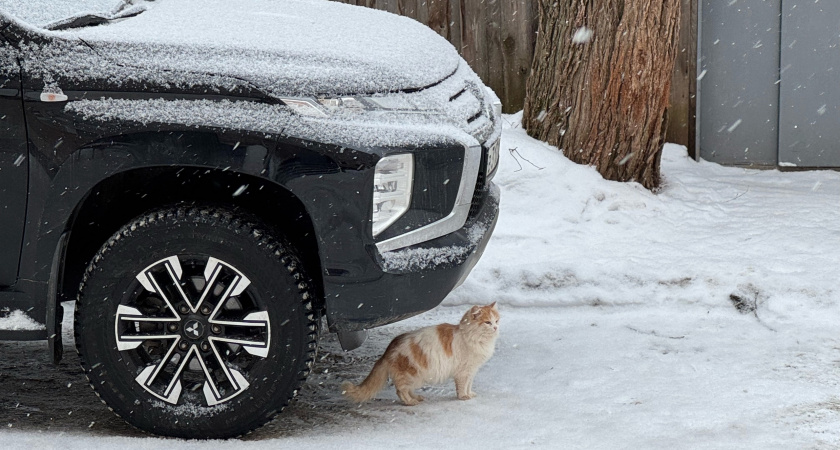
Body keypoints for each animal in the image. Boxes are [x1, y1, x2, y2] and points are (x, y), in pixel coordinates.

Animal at [342, 302, 498, 404]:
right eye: (487, 322)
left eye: (496, 321)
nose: (496, 328)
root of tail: (390, 347)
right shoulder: (464, 372)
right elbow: (462, 387)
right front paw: (463, 397)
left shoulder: (472, 371)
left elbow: (469, 385)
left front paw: (470, 394)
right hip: (411, 375)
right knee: (401, 390)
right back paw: (410, 402)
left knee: (407, 389)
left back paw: (416, 398)